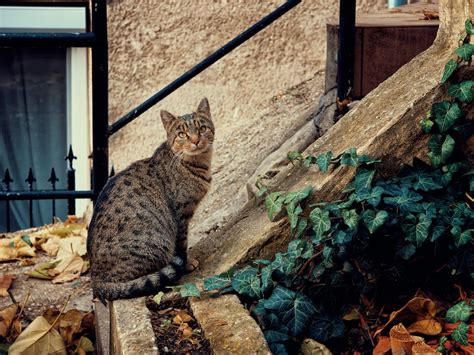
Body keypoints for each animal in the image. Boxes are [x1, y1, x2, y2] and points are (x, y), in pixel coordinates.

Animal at [87, 98, 215, 304]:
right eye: (182, 134)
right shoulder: (181, 215)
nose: (195, 140)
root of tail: (95, 279)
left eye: (202, 128)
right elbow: (182, 244)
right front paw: (187, 263)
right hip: (155, 245)